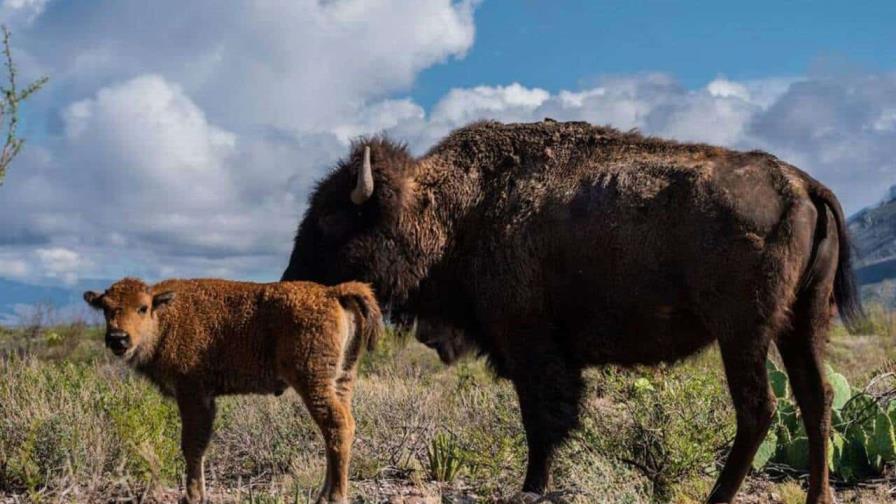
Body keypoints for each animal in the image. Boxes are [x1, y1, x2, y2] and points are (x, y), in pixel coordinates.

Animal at [80, 278, 382, 502]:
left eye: (142, 308)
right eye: (106, 308)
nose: (118, 338)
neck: (166, 315)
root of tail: (333, 293)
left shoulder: (192, 393)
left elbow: (192, 444)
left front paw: (192, 496)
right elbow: (199, 444)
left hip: (313, 382)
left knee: (337, 426)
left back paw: (334, 497)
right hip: (341, 378)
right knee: (338, 430)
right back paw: (323, 494)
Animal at [284, 119, 864, 504]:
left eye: (332, 218)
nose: (293, 281)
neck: (455, 209)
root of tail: (802, 184)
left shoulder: (529, 344)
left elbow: (541, 422)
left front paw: (531, 487)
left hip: (743, 330)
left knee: (759, 408)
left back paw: (718, 498)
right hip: (803, 322)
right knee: (816, 399)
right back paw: (817, 498)